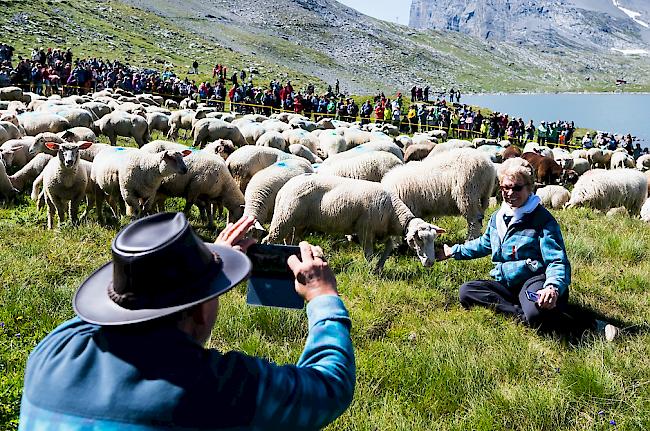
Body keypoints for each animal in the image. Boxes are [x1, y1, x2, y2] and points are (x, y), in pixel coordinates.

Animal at [262, 174, 440, 272]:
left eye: (433, 239)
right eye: (419, 239)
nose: (431, 262)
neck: (393, 212)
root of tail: (286, 186)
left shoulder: (382, 230)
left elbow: (389, 247)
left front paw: (379, 267)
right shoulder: (366, 230)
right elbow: (369, 254)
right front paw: (371, 270)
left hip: (298, 224)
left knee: (290, 240)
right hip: (284, 218)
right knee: (269, 240)